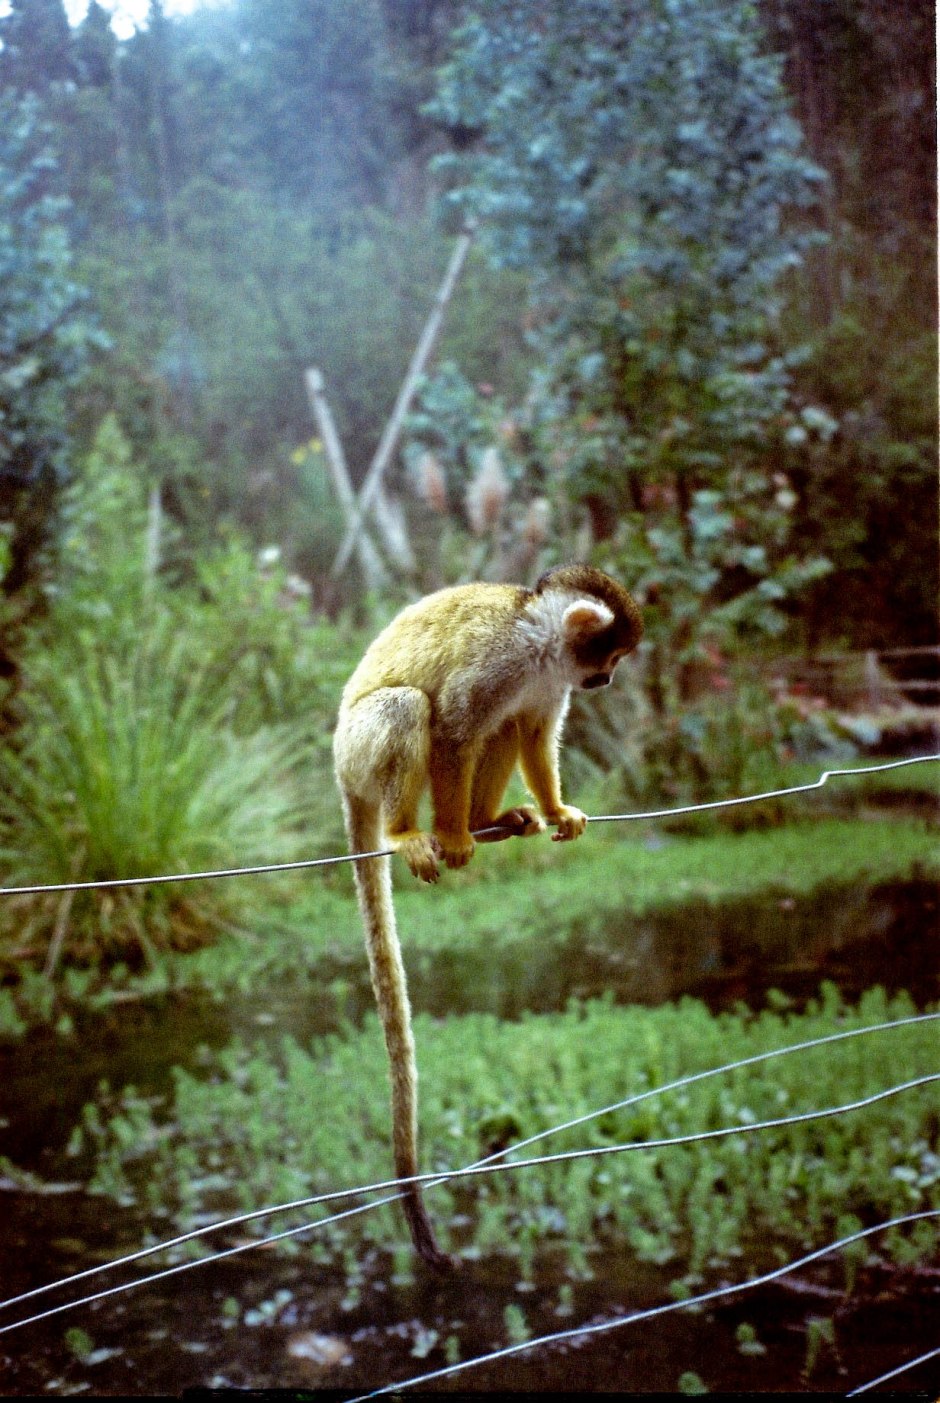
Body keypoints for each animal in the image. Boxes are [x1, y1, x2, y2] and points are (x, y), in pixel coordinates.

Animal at [333, 563, 642, 1270]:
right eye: (611, 657)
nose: (608, 681)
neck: (539, 639)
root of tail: (339, 774)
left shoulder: (552, 681)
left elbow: (532, 729)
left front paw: (555, 810)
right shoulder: (499, 660)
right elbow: (451, 729)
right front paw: (450, 835)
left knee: (501, 726)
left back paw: (492, 819)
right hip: (358, 752)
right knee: (410, 708)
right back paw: (411, 831)